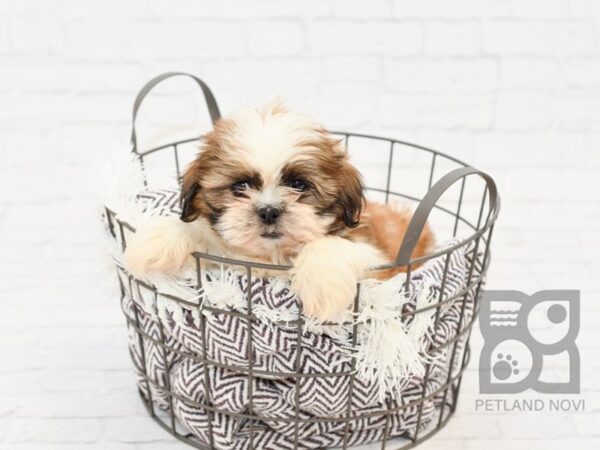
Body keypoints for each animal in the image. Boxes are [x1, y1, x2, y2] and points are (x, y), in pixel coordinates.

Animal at [124, 100, 434, 322]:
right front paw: (152, 242)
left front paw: (321, 286)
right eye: (241, 186)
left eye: (298, 184)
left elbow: (332, 246)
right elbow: (196, 230)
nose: (269, 211)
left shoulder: (378, 258)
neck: (271, 257)